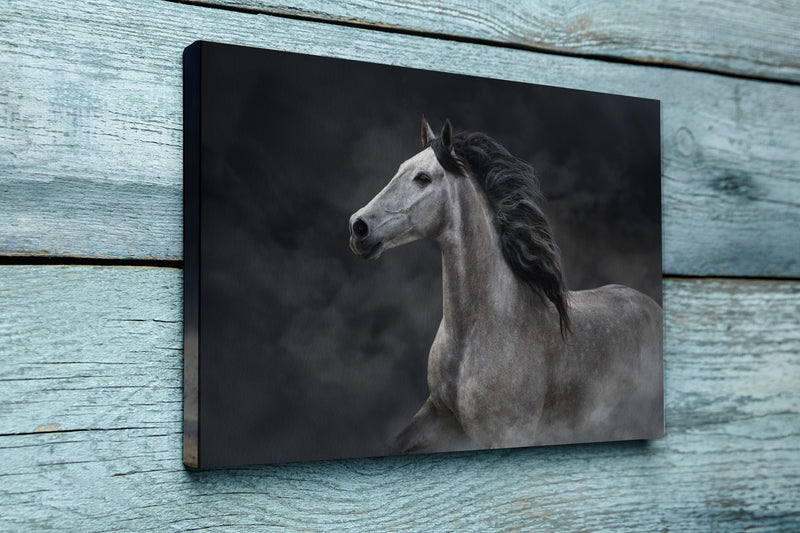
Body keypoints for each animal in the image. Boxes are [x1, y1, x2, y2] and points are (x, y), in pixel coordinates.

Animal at [350, 117, 664, 454]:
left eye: (423, 178)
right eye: (400, 168)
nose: (358, 227)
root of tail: (651, 306)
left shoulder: (510, 434)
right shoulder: (438, 415)